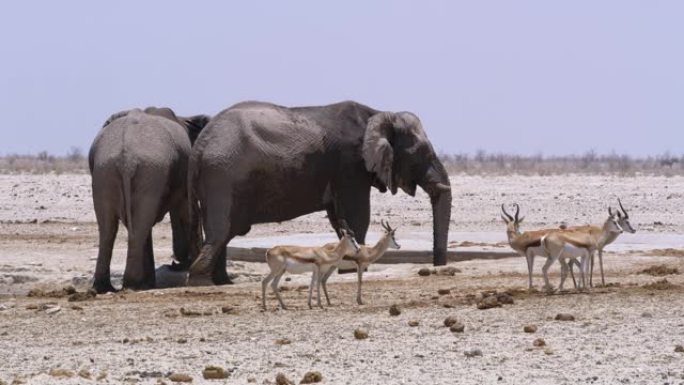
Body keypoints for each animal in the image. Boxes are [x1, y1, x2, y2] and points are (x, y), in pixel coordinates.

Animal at [89, 105, 210, 292]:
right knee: (137, 225)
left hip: (106, 171)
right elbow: (186, 212)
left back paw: (106, 287)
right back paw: (133, 284)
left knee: (110, 227)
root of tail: (127, 158)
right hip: (147, 170)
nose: (176, 264)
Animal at [190, 100, 452, 284]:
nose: (437, 266)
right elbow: (357, 215)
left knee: (223, 235)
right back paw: (201, 281)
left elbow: (340, 219)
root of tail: (200, 145)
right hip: (222, 175)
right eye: (422, 153)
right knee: (220, 233)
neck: (377, 114)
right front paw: (355, 268)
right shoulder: (350, 164)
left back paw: (223, 282)